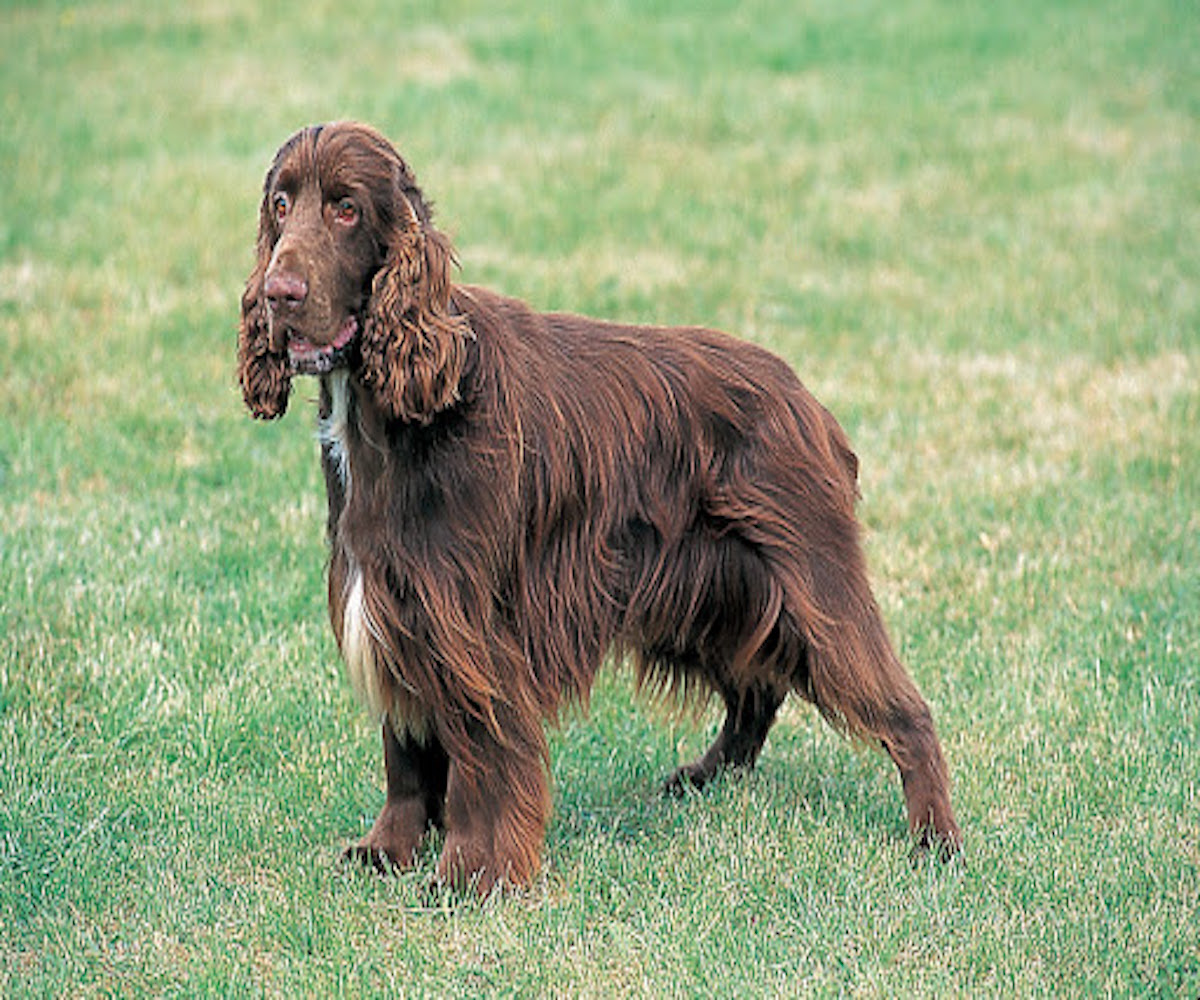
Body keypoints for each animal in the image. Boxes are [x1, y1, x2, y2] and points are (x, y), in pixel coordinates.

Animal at [238, 121, 960, 893]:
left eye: (346, 210)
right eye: (281, 204)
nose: (279, 293)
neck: (395, 404)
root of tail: (808, 400)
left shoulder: (469, 626)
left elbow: (480, 759)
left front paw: (472, 874)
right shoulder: (392, 600)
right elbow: (404, 750)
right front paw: (388, 849)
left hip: (812, 583)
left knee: (904, 711)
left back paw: (935, 838)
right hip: (713, 592)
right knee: (756, 691)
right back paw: (705, 778)